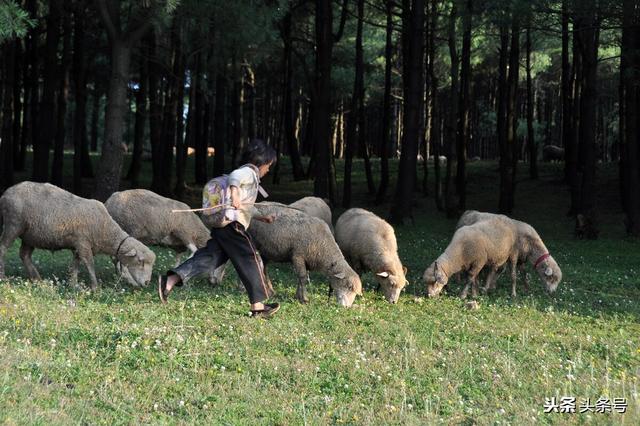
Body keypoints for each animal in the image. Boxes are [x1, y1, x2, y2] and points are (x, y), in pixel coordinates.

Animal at [0, 182, 155, 290]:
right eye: (140, 261)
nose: (147, 282)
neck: (104, 228)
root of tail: (6, 193)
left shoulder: (77, 247)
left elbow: (75, 265)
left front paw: (73, 284)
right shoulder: (83, 243)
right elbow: (89, 264)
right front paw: (95, 288)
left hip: (29, 235)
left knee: (24, 255)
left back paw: (37, 280)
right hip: (13, 225)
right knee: (3, 249)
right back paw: (3, 277)